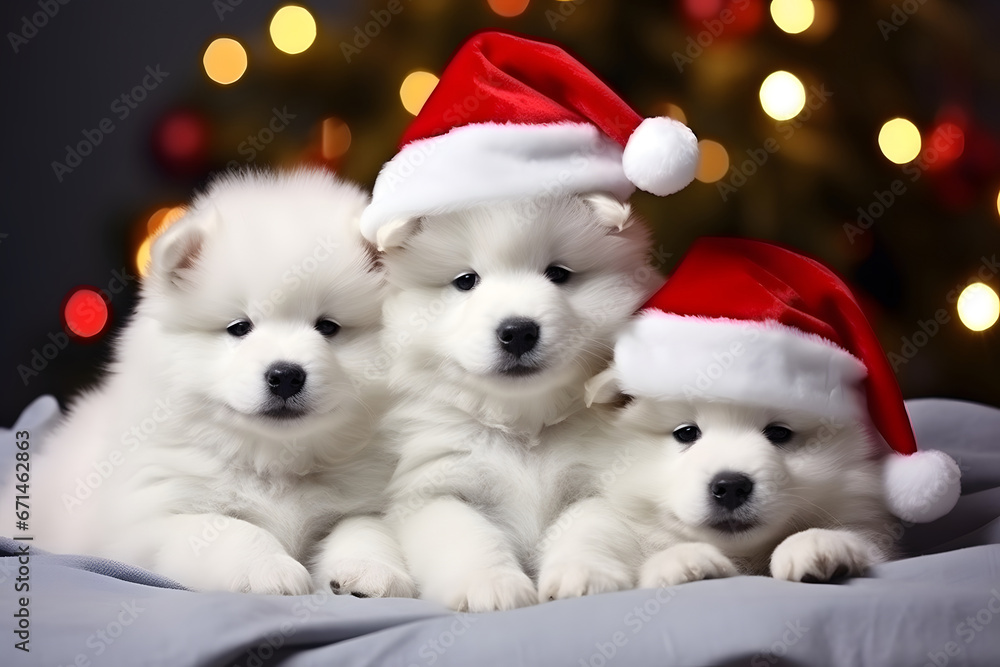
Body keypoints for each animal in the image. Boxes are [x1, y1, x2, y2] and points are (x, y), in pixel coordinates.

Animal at [26, 168, 410, 596]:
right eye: (239, 328)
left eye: (328, 327)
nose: (285, 375)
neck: (275, 464)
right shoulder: (150, 520)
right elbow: (228, 528)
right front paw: (268, 569)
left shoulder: (371, 496)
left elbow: (365, 526)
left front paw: (371, 569)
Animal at [376, 193, 664, 612]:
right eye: (466, 281)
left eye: (558, 274)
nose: (518, 331)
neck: (523, 425)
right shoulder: (428, 488)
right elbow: (464, 532)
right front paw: (491, 585)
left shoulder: (602, 480)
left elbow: (589, 523)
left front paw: (582, 574)